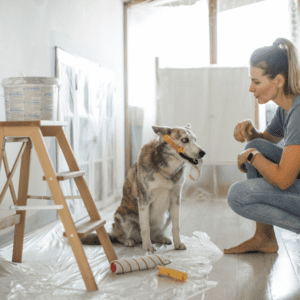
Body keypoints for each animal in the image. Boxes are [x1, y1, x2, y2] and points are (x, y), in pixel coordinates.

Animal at [81, 123, 205, 252]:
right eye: (184, 140)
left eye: (195, 140)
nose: (203, 153)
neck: (166, 169)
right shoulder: (144, 200)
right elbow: (145, 227)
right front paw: (147, 246)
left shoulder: (175, 199)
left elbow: (176, 226)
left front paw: (178, 243)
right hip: (122, 217)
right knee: (120, 237)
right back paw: (128, 241)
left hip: (167, 214)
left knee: (155, 235)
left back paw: (161, 238)